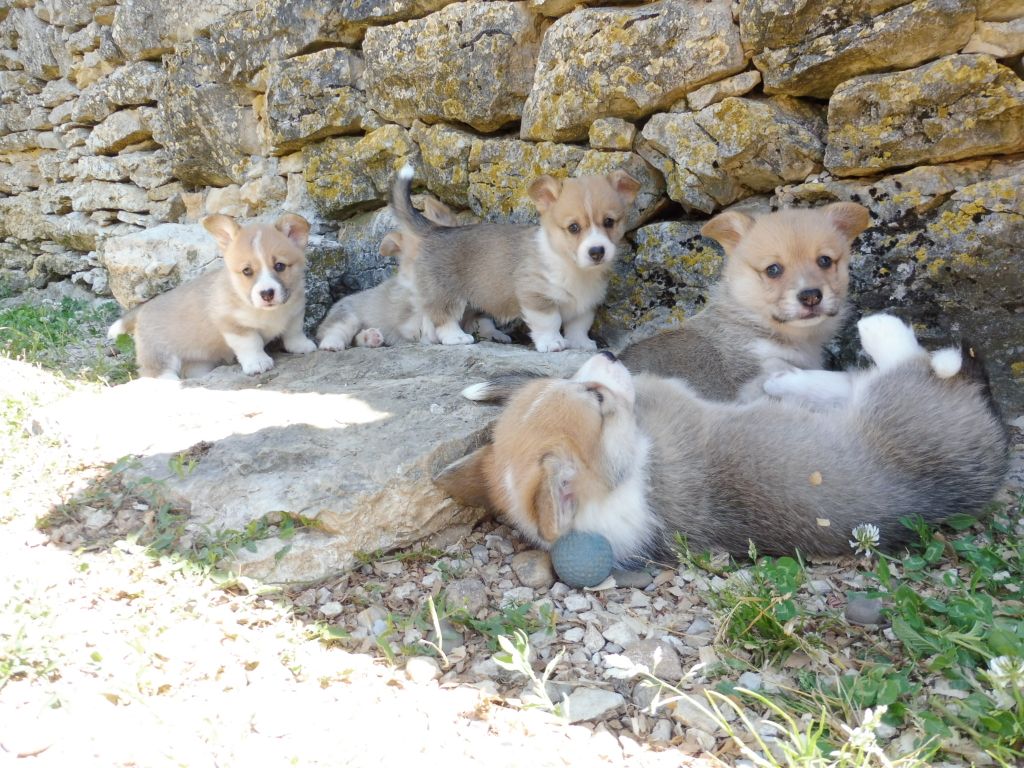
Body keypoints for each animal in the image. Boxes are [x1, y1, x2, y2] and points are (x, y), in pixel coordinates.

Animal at [107, 214, 315, 378]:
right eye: (247, 271)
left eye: (280, 266)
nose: (267, 294)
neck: (269, 312)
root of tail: (143, 308)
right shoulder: (232, 324)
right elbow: (250, 343)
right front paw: (258, 363)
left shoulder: (296, 311)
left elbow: (294, 331)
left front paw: (302, 346)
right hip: (159, 352)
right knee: (155, 373)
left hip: (198, 363)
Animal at [389, 166, 638, 354]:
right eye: (573, 227)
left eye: (609, 222)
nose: (597, 251)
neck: (572, 267)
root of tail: (435, 230)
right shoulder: (537, 296)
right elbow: (550, 322)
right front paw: (553, 343)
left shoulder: (585, 303)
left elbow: (579, 326)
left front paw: (581, 344)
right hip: (446, 293)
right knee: (443, 316)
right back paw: (455, 338)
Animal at [438, 313, 1007, 565]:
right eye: (596, 400)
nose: (610, 353)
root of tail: (996, 444)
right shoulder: (664, 394)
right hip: (898, 400)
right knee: (901, 362)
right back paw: (873, 329)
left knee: (846, 382)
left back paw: (786, 382)